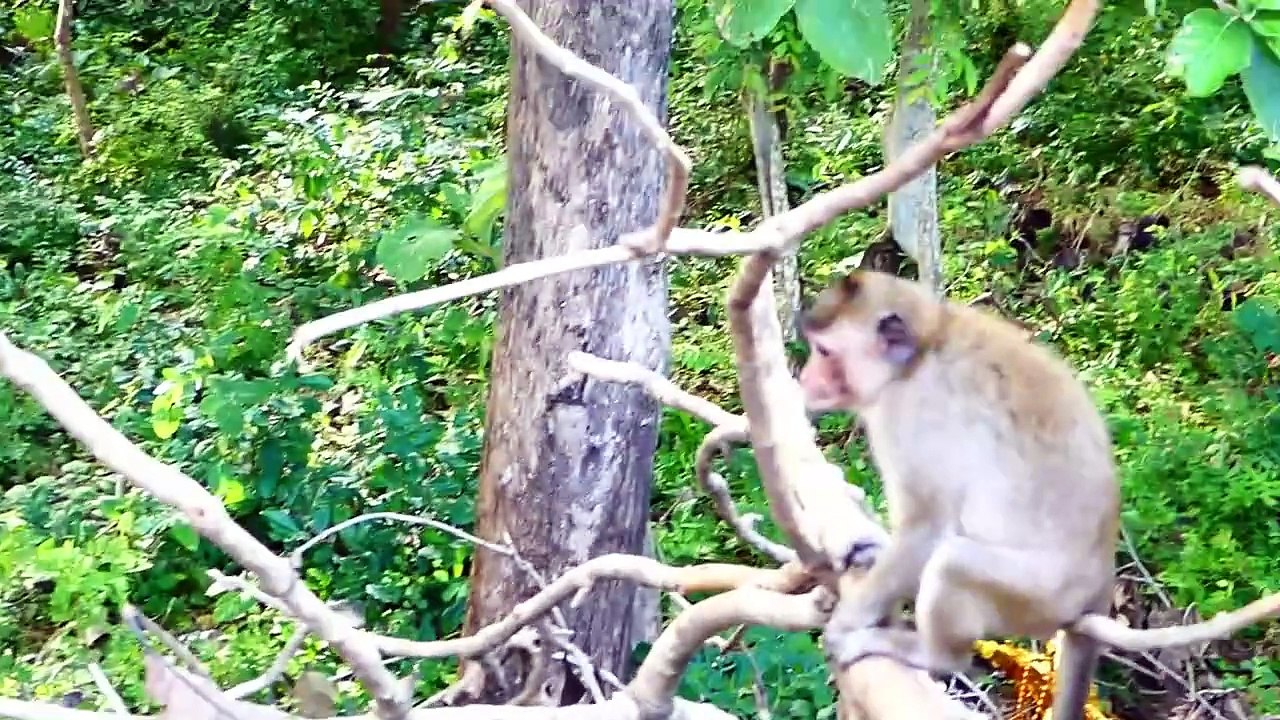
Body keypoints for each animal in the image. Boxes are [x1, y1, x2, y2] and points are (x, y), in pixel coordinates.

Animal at [797, 269, 1120, 720]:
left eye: (824, 351)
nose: (804, 378)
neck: (923, 351)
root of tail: (1100, 581)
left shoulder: (910, 415)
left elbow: (926, 528)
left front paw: (848, 621)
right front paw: (869, 547)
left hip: (1037, 599)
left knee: (953, 561)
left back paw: (934, 656)